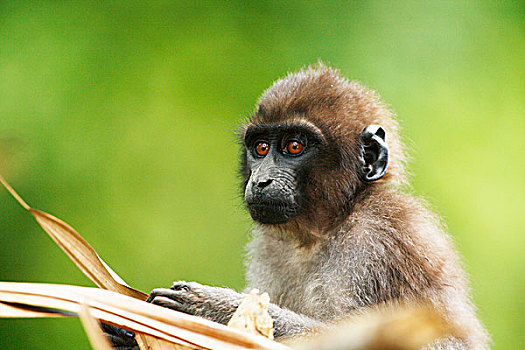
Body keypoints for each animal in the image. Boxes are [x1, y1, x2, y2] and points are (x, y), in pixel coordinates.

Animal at [108, 63, 490, 350]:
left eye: (294, 146)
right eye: (261, 148)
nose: (260, 181)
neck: (323, 229)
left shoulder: (385, 240)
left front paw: (215, 310)